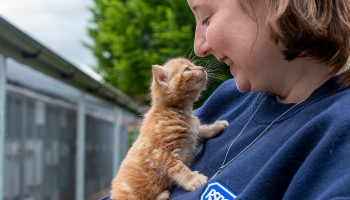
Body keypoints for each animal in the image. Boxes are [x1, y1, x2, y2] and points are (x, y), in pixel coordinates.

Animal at [110, 57, 228, 199]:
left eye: (193, 65)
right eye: (187, 69)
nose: (202, 68)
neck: (178, 111)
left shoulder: (191, 132)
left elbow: (200, 130)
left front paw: (215, 127)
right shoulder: (161, 153)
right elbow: (179, 169)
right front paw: (194, 179)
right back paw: (163, 194)